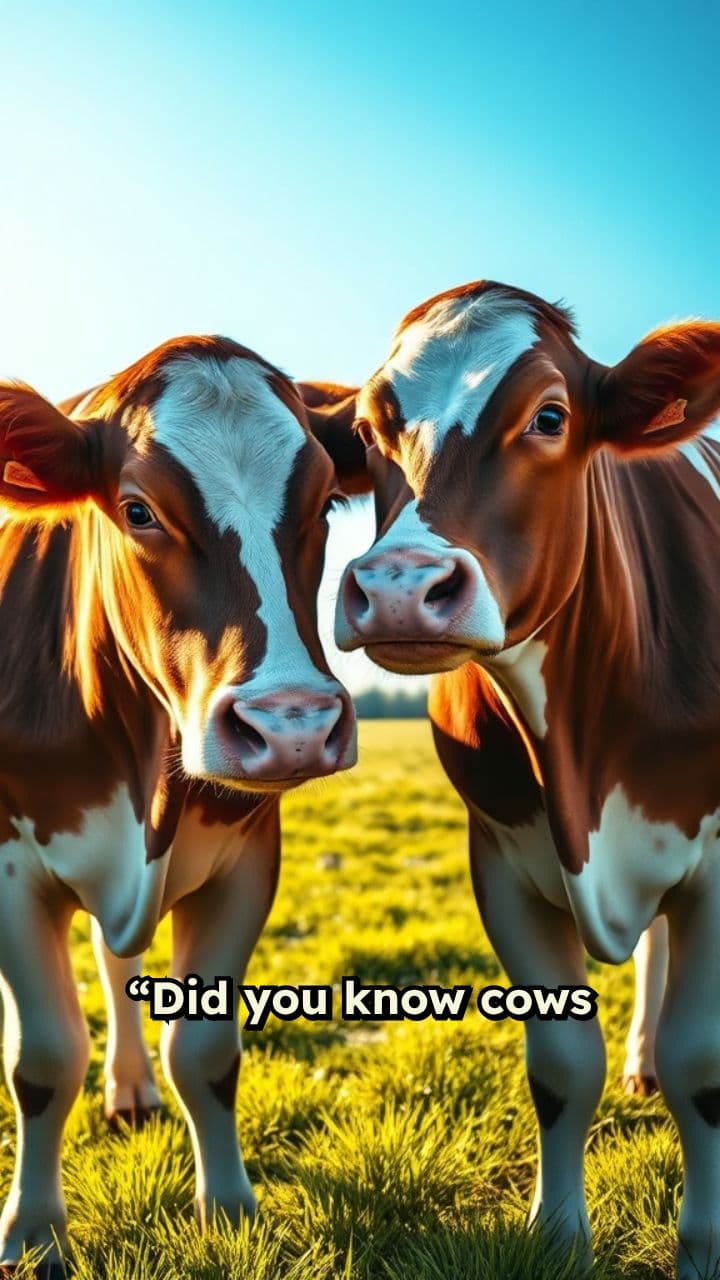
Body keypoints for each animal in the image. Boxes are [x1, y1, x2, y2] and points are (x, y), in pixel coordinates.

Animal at [0, 339, 364, 1277]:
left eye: (322, 504)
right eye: (138, 510)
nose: (292, 725)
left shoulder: (247, 861)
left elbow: (204, 1053)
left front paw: (229, 1207)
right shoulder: (10, 869)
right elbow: (44, 1059)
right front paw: (35, 1229)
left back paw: (131, 1087)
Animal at [331, 282, 720, 1279]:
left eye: (550, 417)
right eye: (371, 426)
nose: (399, 589)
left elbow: (703, 1066)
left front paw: (703, 1245)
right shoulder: (501, 858)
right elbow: (561, 1066)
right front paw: (557, 1237)